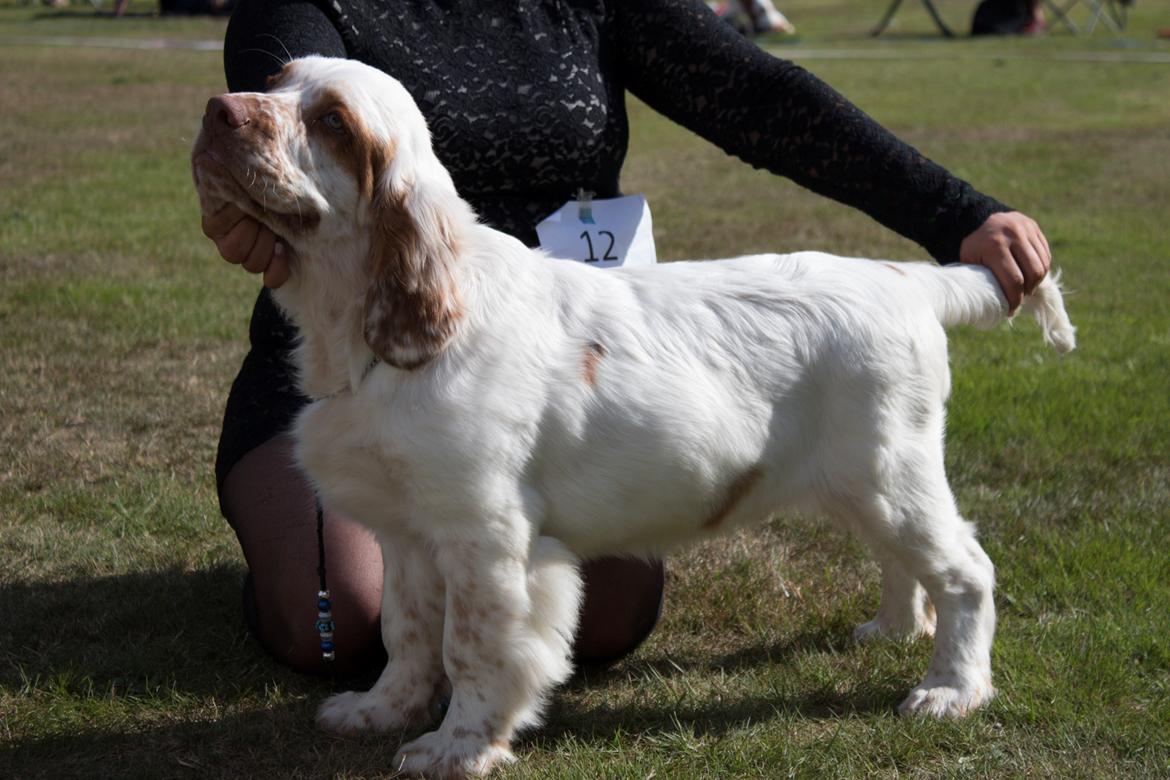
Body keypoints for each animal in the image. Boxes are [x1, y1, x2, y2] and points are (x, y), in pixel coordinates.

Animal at [191, 56, 1076, 780]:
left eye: (333, 122)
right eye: (273, 82)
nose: (217, 111)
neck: (366, 332)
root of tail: (904, 279)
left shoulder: (487, 535)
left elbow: (473, 646)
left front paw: (457, 747)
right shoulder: (408, 532)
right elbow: (406, 633)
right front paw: (379, 711)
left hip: (889, 473)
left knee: (966, 572)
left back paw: (951, 689)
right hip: (859, 483)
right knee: (906, 564)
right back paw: (893, 630)